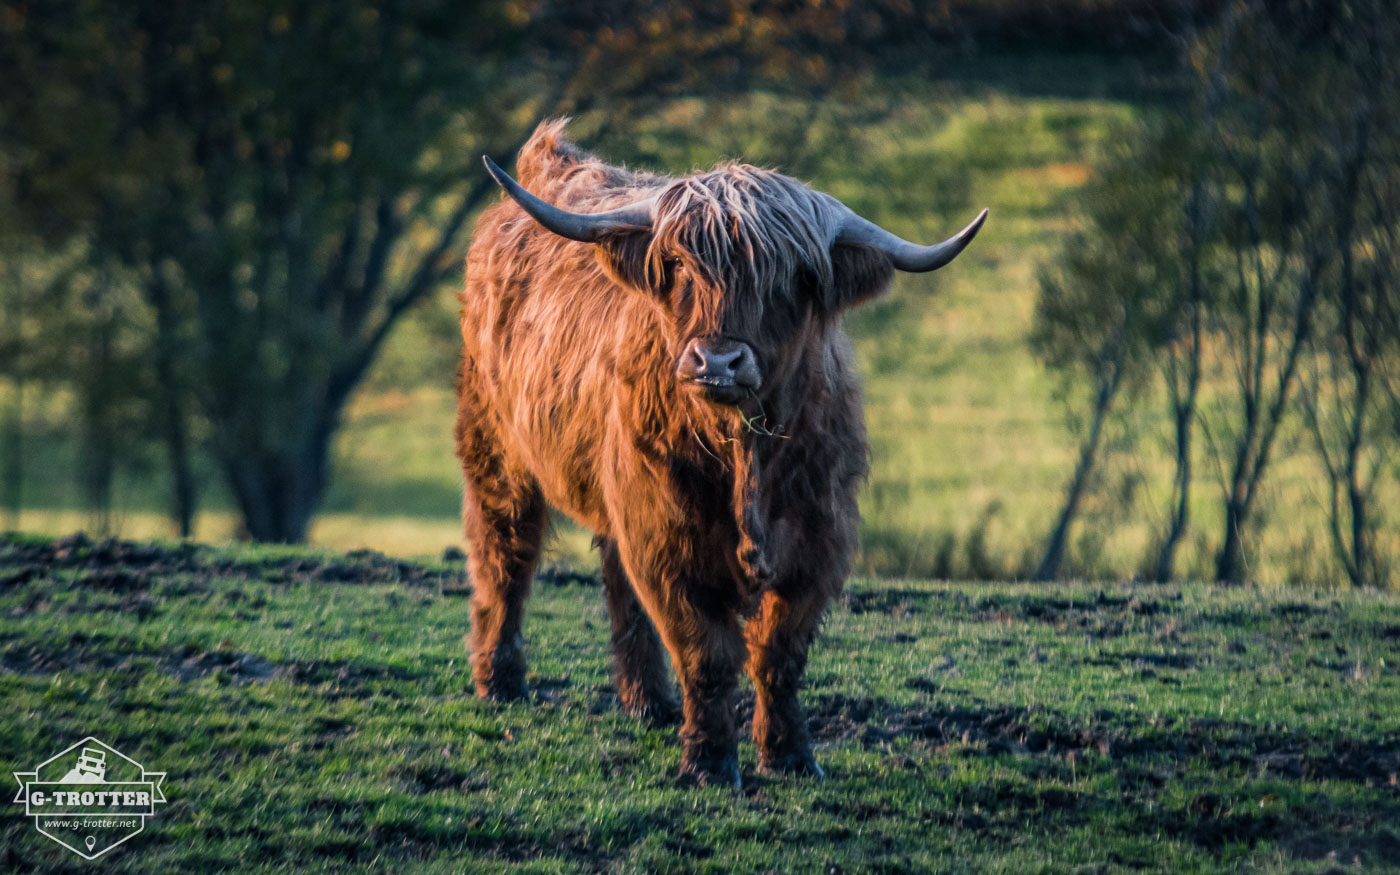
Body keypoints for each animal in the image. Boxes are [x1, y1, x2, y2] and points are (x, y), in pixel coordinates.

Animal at [459, 119, 985, 789]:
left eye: (791, 279)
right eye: (679, 265)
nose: (717, 361)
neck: (744, 455)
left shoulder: (819, 543)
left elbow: (779, 654)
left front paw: (789, 756)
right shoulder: (668, 542)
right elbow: (705, 652)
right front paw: (709, 762)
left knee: (615, 578)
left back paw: (649, 703)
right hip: (496, 449)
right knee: (506, 554)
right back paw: (500, 682)